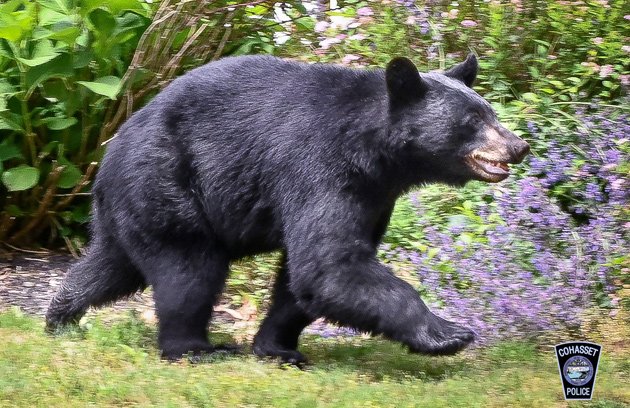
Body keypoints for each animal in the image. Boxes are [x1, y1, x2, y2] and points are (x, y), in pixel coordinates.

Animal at [44, 54, 532, 364]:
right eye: (473, 121)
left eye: (490, 111)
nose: (518, 146)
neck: (374, 151)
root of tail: (105, 156)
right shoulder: (319, 167)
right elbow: (328, 264)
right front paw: (448, 333)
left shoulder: (374, 195)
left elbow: (305, 277)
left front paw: (277, 348)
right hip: (168, 183)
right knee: (189, 272)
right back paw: (195, 349)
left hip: (134, 204)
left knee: (113, 264)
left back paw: (61, 316)